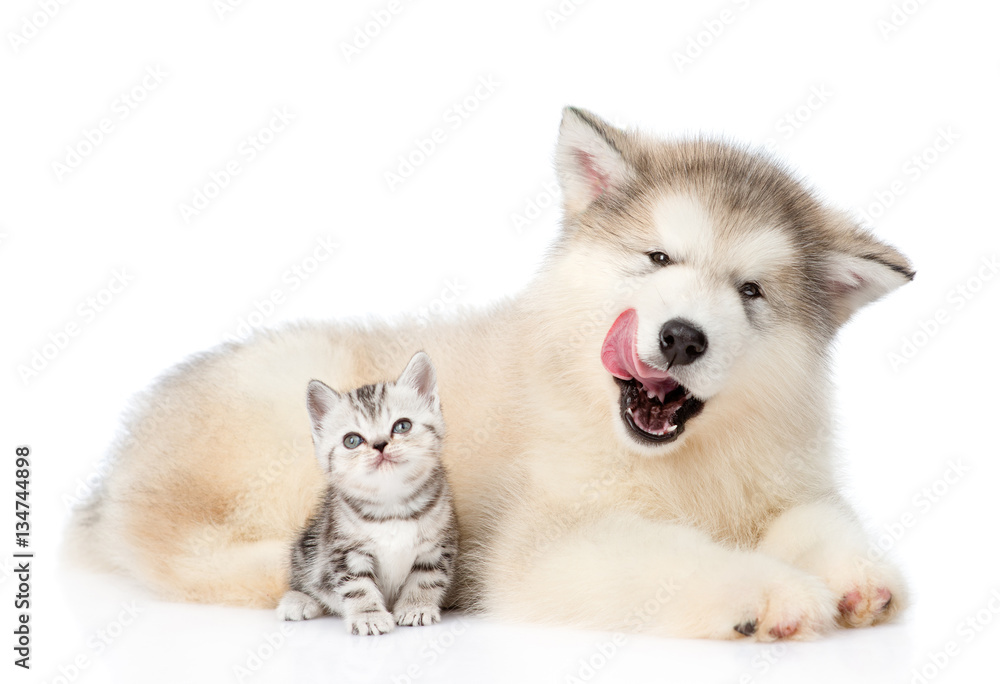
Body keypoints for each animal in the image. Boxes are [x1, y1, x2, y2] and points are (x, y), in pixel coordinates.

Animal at [276, 352, 458, 636]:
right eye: (352, 440)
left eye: (402, 426)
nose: (380, 445)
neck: (392, 504)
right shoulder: (344, 550)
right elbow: (357, 586)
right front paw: (368, 615)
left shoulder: (438, 544)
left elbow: (427, 577)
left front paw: (416, 607)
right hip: (308, 545)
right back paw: (298, 600)